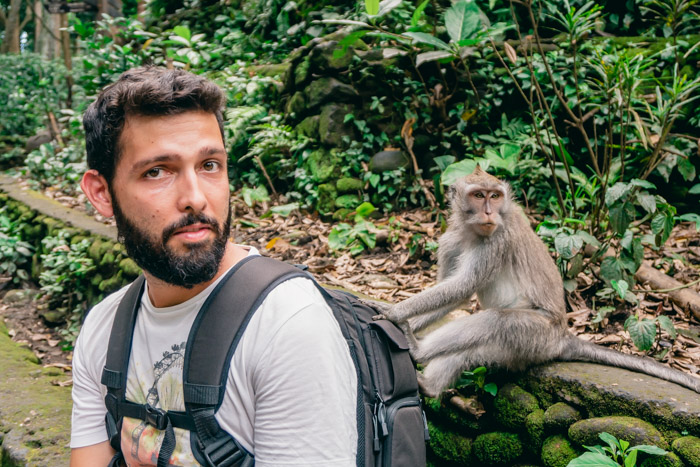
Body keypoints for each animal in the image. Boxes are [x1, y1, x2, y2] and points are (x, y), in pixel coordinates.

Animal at [373, 165, 700, 397]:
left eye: (495, 196)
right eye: (479, 195)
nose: (489, 211)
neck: (472, 231)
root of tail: (564, 336)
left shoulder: (498, 238)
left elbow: (461, 288)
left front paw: (396, 313)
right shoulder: (450, 240)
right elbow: (455, 294)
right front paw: (408, 319)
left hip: (538, 337)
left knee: (497, 322)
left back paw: (418, 351)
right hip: (522, 350)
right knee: (478, 347)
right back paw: (428, 383)